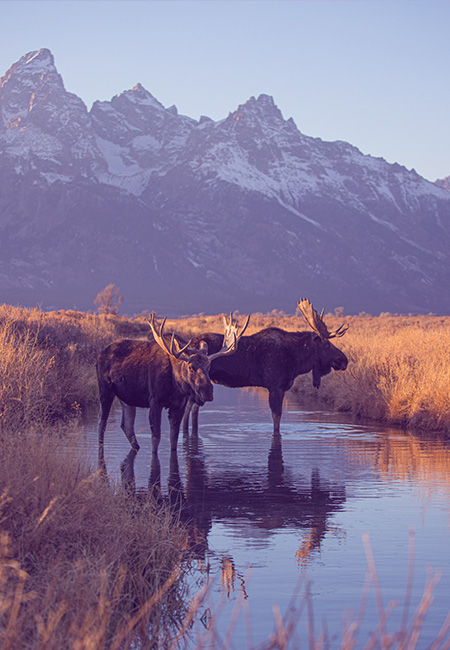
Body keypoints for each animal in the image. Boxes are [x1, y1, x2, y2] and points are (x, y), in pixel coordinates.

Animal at [95, 312, 243, 454]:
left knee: (127, 425)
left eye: (209, 367)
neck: (176, 385)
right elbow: (156, 439)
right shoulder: (155, 401)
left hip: (127, 398)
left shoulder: (179, 405)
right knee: (101, 423)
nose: (207, 391)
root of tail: (100, 354)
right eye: (191, 367)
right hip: (105, 390)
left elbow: (174, 439)